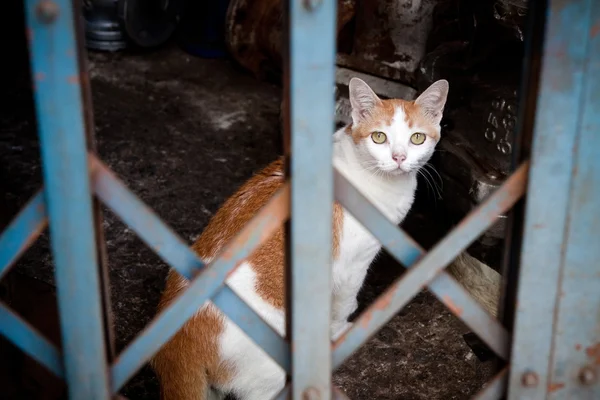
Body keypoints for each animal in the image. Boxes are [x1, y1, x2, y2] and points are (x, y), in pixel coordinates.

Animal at [150, 76, 450, 400]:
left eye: (417, 139)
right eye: (379, 138)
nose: (399, 158)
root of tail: (175, 347)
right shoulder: (353, 266)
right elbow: (343, 303)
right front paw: (340, 330)